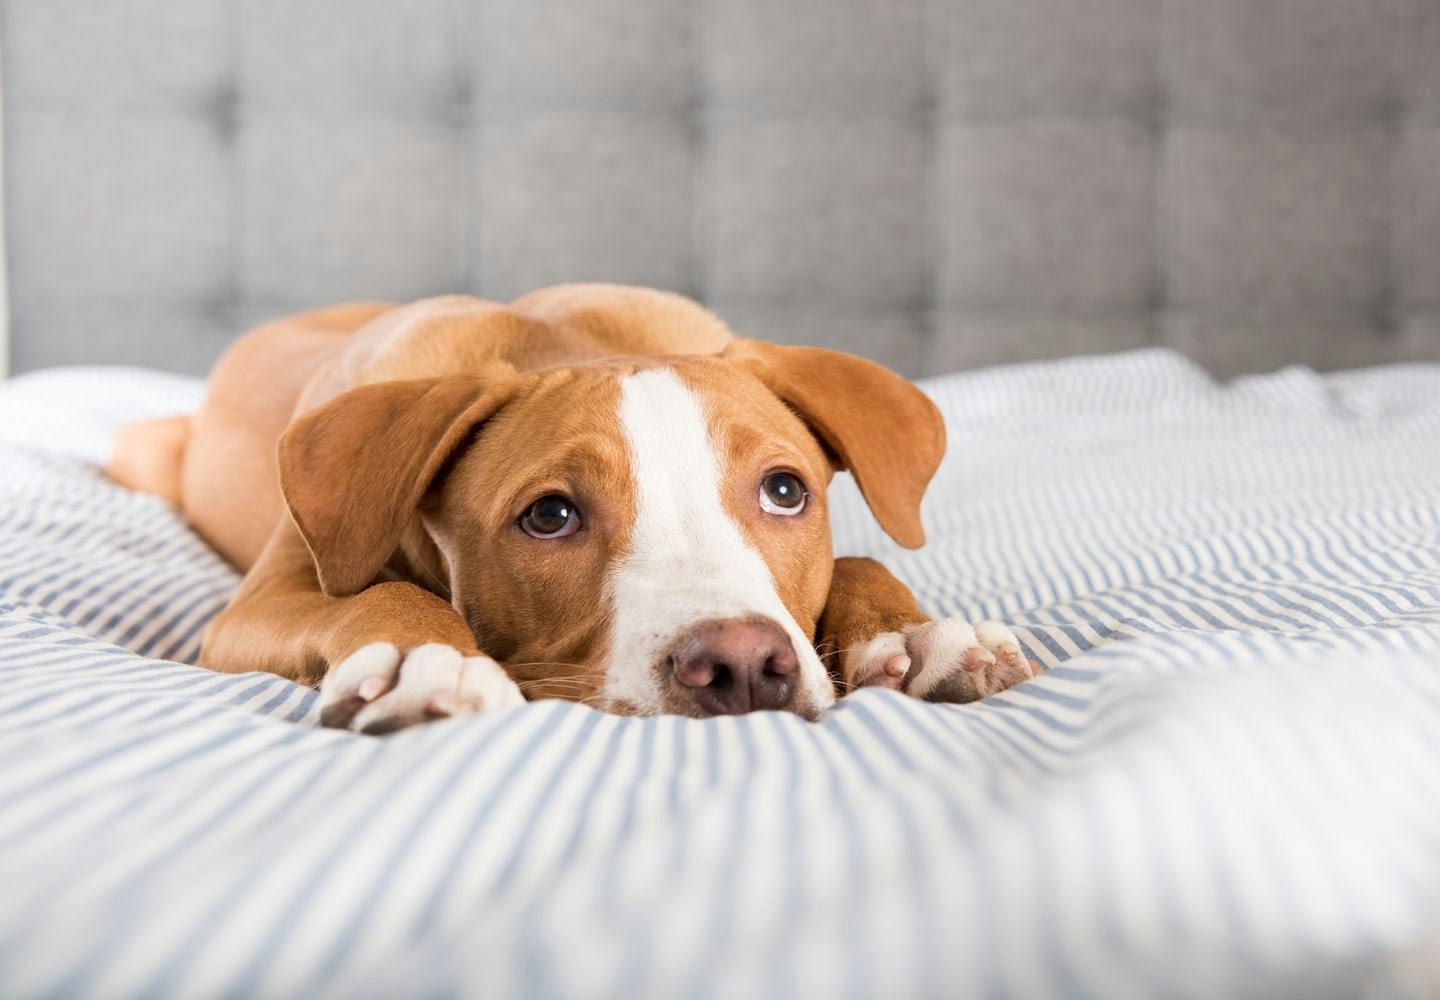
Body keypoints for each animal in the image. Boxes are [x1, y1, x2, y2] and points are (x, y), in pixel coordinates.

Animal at [109, 285, 1036, 731]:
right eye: (549, 517)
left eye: (785, 491)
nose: (740, 665)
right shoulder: (259, 605)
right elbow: (379, 591)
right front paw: (425, 660)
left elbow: (859, 555)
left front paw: (916, 634)